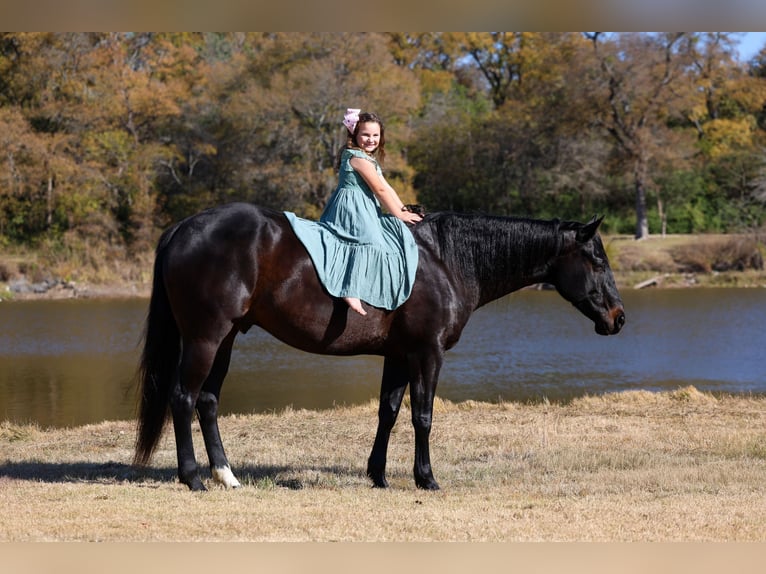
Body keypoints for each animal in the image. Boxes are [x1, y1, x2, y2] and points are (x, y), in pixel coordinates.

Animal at [133, 202, 625, 491]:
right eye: (597, 260)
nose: (619, 318)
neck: (443, 260)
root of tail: (183, 227)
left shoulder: (398, 356)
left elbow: (388, 412)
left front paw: (379, 475)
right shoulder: (427, 353)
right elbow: (422, 416)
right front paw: (426, 479)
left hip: (227, 339)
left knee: (208, 401)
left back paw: (225, 475)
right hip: (205, 338)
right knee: (184, 398)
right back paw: (193, 478)